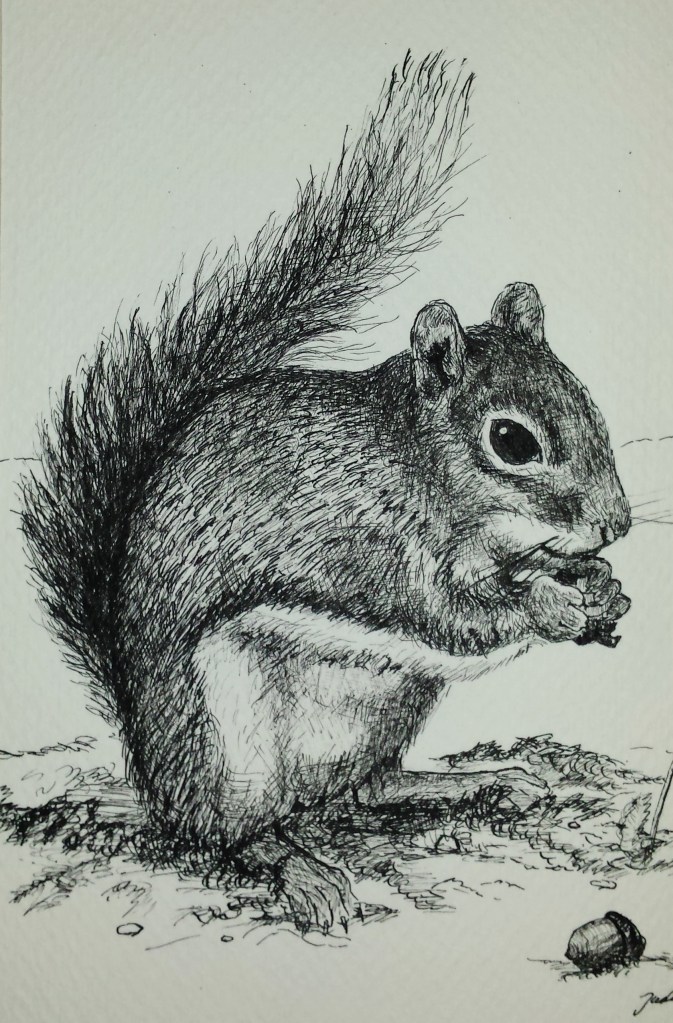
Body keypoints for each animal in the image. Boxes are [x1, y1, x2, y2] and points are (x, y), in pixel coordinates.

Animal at [19, 53, 631, 933]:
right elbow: (452, 616)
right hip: (227, 743)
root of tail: (159, 778)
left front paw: (601, 588)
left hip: (390, 706)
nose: (616, 525)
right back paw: (299, 869)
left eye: (587, 400)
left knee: (368, 788)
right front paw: (550, 604)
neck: (409, 460)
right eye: (512, 441)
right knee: (228, 834)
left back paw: (477, 782)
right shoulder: (371, 547)